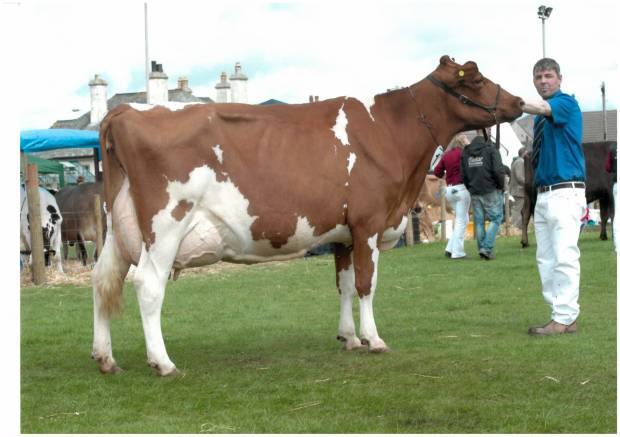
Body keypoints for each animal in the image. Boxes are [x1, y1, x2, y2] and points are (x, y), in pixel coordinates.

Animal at [89, 55, 520, 374]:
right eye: (476, 78)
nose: (517, 102)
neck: (388, 131)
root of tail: (125, 111)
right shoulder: (367, 224)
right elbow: (366, 284)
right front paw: (374, 339)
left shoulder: (343, 234)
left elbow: (344, 286)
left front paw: (349, 337)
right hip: (165, 227)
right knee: (148, 285)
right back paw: (163, 363)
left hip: (118, 228)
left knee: (103, 280)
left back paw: (105, 357)